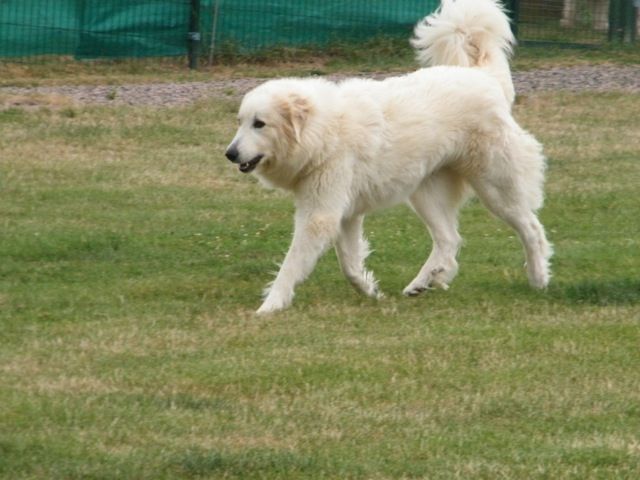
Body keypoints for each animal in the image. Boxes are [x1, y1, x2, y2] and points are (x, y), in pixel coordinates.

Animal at [224, 0, 552, 316]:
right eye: (240, 122)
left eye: (259, 124)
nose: (230, 154)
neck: (322, 129)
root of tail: (484, 76)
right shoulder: (345, 214)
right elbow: (349, 264)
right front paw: (370, 290)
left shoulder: (320, 215)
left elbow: (291, 265)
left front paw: (270, 305)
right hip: (425, 193)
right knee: (449, 240)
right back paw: (426, 281)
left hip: (496, 188)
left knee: (531, 229)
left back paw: (538, 278)